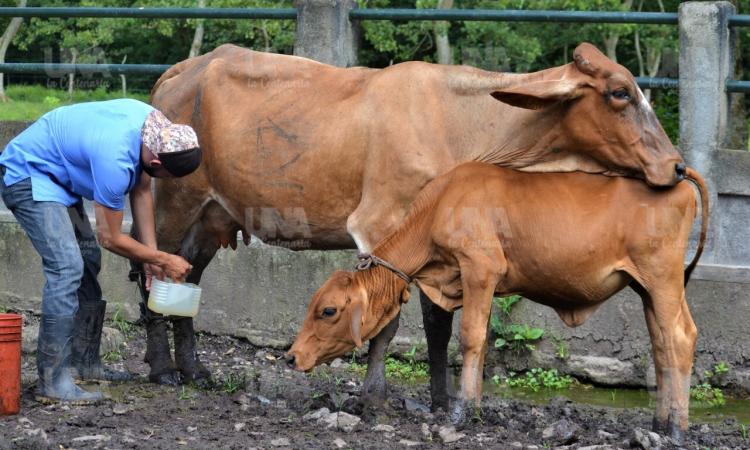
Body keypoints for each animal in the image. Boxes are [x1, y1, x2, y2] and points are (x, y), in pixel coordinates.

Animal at [140, 42, 688, 406]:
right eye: (620, 93)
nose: (678, 166)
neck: (464, 124)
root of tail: (186, 68)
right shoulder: (382, 223)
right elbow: (391, 321)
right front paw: (374, 393)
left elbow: (438, 327)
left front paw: (440, 399)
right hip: (172, 203)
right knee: (152, 276)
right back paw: (164, 370)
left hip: (212, 216)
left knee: (187, 278)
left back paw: (194, 369)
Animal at [284, 163, 708, 442]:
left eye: (328, 310)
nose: (290, 356)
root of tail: (680, 180)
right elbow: (483, 341)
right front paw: (474, 407)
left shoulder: (480, 268)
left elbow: (471, 337)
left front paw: (459, 413)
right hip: (646, 289)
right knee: (661, 348)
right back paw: (658, 424)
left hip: (664, 279)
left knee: (682, 338)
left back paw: (677, 429)